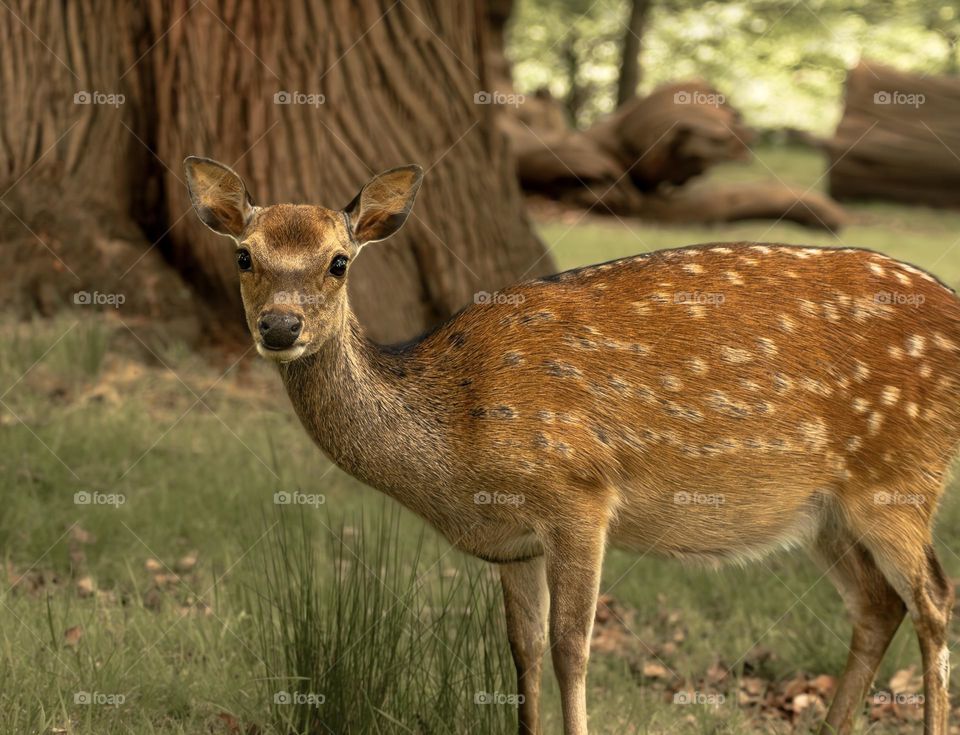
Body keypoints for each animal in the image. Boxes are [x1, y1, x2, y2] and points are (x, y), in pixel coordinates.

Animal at [184, 155, 960, 735]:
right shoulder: (512, 542)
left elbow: (571, 649)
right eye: (244, 256)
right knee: (878, 605)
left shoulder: (579, 493)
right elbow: (523, 651)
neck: (455, 431)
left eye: (339, 261)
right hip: (825, 512)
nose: (280, 326)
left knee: (933, 600)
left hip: (900, 476)